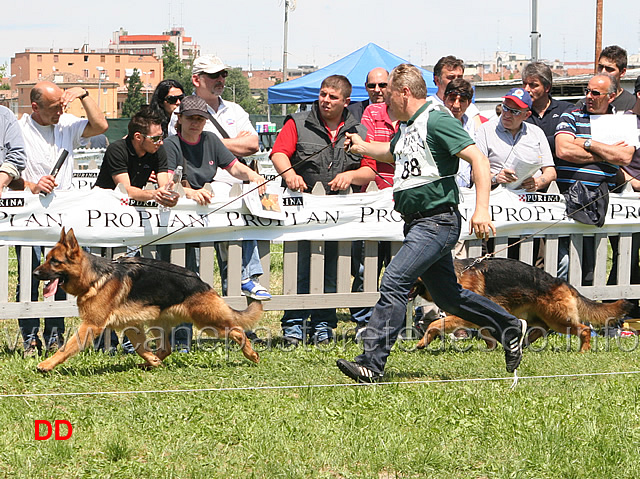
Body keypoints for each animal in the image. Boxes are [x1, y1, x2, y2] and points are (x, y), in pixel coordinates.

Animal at [31, 230, 262, 376]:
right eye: (47, 258)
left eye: (55, 261)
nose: (34, 273)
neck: (95, 277)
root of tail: (201, 282)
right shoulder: (131, 325)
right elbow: (140, 347)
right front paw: (151, 360)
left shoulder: (90, 326)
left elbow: (66, 347)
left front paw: (47, 364)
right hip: (157, 323)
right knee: (166, 348)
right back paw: (151, 363)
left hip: (207, 322)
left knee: (237, 330)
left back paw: (251, 354)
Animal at [412, 258, 632, 352]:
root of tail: (561, 282)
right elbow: (486, 333)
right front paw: (491, 347)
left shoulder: (462, 315)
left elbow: (434, 324)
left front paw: (422, 342)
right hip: (538, 316)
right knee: (541, 329)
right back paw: (524, 342)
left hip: (558, 320)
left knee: (583, 329)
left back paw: (584, 350)